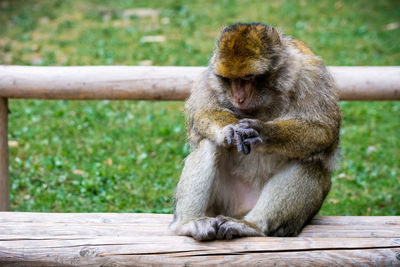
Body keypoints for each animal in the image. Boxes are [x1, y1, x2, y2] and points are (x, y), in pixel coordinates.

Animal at [169, 22, 340, 242]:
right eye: (229, 80)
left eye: (248, 78)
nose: (238, 98)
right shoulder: (209, 79)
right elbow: (202, 114)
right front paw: (229, 129)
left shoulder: (312, 76)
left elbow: (323, 131)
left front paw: (265, 132)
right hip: (224, 202)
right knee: (209, 143)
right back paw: (189, 223)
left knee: (310, 162)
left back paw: (253, 225)